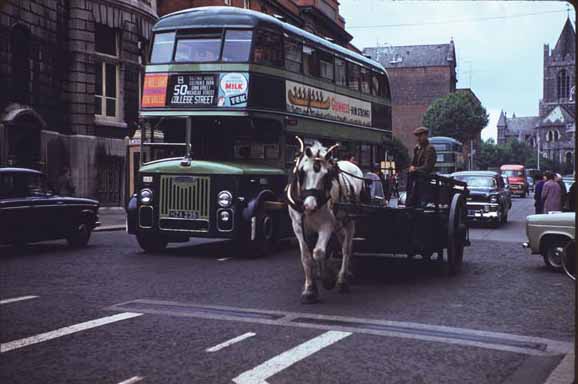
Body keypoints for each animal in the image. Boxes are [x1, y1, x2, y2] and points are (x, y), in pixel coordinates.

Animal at [286, 138, 362, 304]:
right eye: (302, 172)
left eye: (327, 176)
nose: (309, 205)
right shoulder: (298, 226)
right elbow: (307, 257)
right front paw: (310, 289)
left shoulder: (327, 225)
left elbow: (319, 252)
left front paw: (328, 278)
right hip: (339, 223)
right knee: (341, 241)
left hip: (349, 221)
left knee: (346, 248)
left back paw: (342, 279)